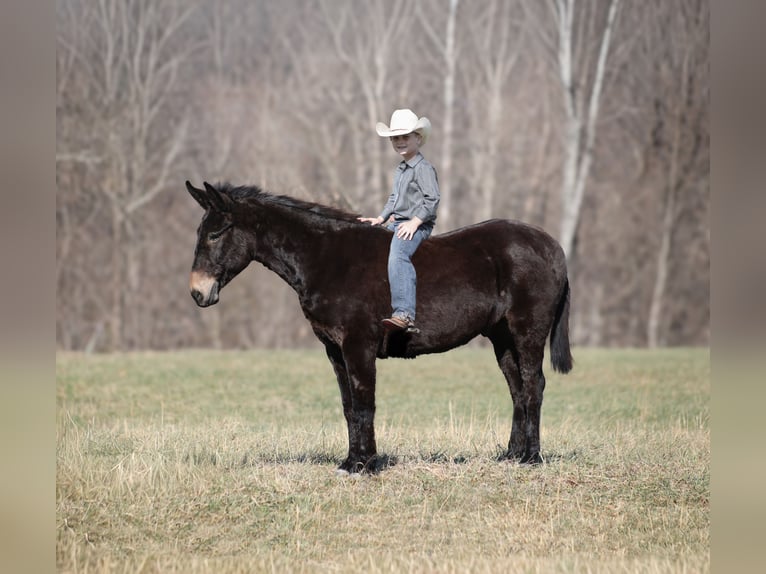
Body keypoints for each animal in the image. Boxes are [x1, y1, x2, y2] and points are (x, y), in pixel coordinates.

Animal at [185, 180, 573, 473]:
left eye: (217, 233)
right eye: (200, 232)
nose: (197, 292)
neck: (327, 259)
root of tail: (552, 246)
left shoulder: (359, 345)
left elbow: (364, 402)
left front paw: (365, 465)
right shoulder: (334, 349)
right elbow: (348, 406)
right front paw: (350, 461)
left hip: (527, 332)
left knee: (533, 386)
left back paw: (532, 458)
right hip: (502, 338)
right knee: (517, 389)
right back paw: (512, 455)